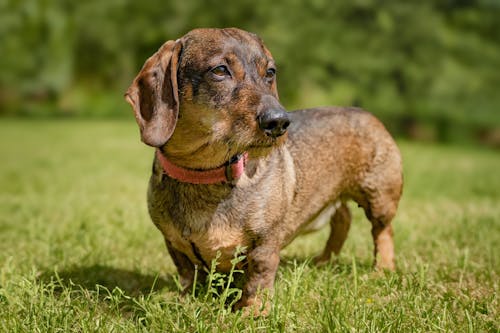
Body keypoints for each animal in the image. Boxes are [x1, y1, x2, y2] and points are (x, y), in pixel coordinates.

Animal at [125, 27, 402, 314]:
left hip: (379, 196)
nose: (279, 122)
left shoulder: (265, 241)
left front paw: (252, 312)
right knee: (343, 219)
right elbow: (188, 272)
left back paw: (382, 269)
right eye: (220, 70)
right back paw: (324, 261)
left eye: (270, 72)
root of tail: (366, 113)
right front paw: (186, 301)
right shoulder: (174, 243)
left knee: (382, 231)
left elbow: (258, 275)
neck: (205, 174)